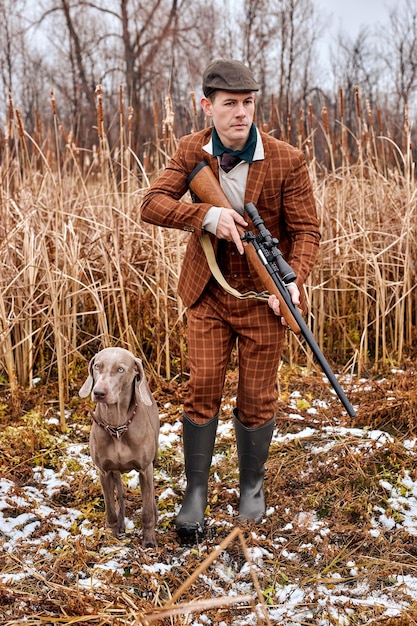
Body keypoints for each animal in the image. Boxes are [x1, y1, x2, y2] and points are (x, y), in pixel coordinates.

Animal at [79, 346, 159, 544]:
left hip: (153, 458)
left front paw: (149, 541)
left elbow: (146, 510)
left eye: (121, 369)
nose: (99, 392)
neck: (117, 428)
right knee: (120, 496)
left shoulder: (145, 469)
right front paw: (112, 536)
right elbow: (110, 510)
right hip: (115, 471)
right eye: (97, 366)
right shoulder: (104, 471)